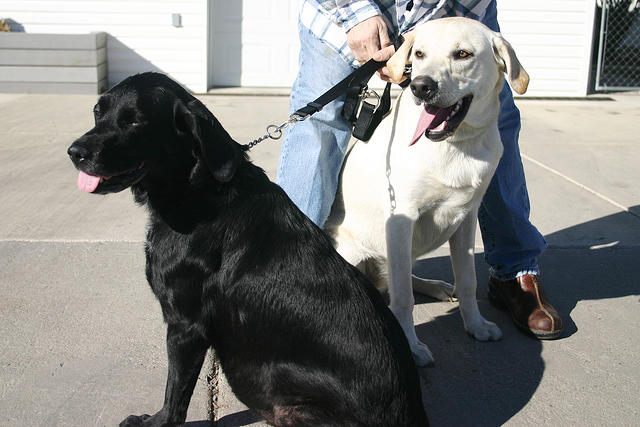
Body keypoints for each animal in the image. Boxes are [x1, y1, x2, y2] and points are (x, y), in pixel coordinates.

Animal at [67, 73, 428, 427]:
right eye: (98, 112)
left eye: (134, 121)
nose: (75, 152)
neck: (195, 192)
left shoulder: (186, 326)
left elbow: (175, 396)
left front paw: (156, 422)